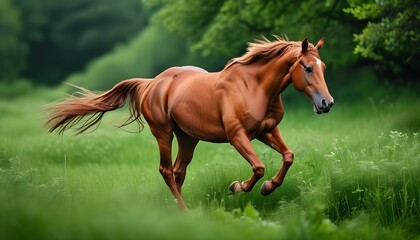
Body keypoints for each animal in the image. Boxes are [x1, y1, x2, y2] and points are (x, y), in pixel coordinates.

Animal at [45, 36, 334, 209]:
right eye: (307, 67)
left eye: (323, 67)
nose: (326, 103)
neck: (254, 87)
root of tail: (152, 82)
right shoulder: (237, 136)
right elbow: (259, 167)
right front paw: (237, 187)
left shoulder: (267, 130)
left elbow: (288, 156)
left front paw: (267, 188)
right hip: (163, 133)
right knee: (166, 171)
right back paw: (185, 212)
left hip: (188, 137)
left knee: (177, 172)